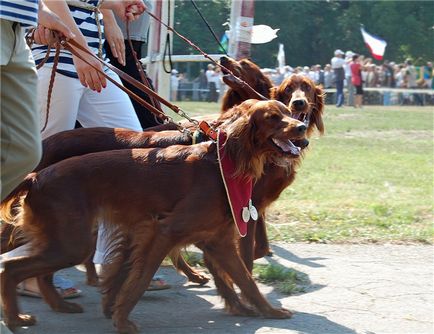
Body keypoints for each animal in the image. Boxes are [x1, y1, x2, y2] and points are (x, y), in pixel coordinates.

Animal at [0, 100, 306, 332]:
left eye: (288, 112)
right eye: (273, 118)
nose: (302, 126)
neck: (222, 163)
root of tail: (36, 176)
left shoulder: (216, 240)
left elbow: (245, 280)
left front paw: (266, 311)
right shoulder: (165, 231)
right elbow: (139, 280)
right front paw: (122, 320)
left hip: (66, 240)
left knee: (28, 271)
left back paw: (53, 307)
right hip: (71, 243)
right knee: (11, 269)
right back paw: (16, 318)